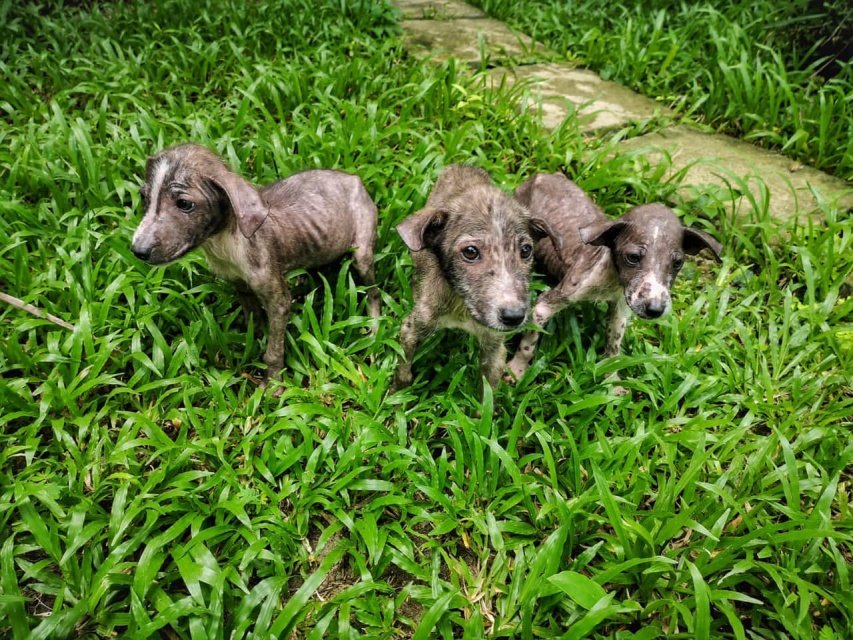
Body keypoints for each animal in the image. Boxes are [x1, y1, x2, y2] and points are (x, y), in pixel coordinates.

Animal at [131, 142, 380, 388]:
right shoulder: (240, 285)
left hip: (362, 248)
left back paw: (374, 328)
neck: (224, 243)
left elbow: (273, 350)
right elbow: (254, 320)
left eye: (184, 204)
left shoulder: (277, 300)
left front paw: (273, 384)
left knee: (374, 291)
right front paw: (253, 343)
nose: (137, 251)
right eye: (143, 197)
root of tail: (354, 178)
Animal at [392, 164, 560, 400]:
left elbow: (487, 393)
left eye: (526, 250)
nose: (514, 317)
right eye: (471, 252)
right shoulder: (413, 328)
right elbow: (403, 370)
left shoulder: (494, 347)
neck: (463, 305)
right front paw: (396, 397)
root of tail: (462, 165)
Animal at [506, 171, 720, 390]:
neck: (613, 280)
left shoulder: (619, 311)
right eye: (632, 257)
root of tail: (541, 175)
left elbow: (613, 350)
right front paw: (517, 370)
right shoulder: (547, 304)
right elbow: (528, 344)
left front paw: (612, 383)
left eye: (677, 263)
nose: (655, 309)